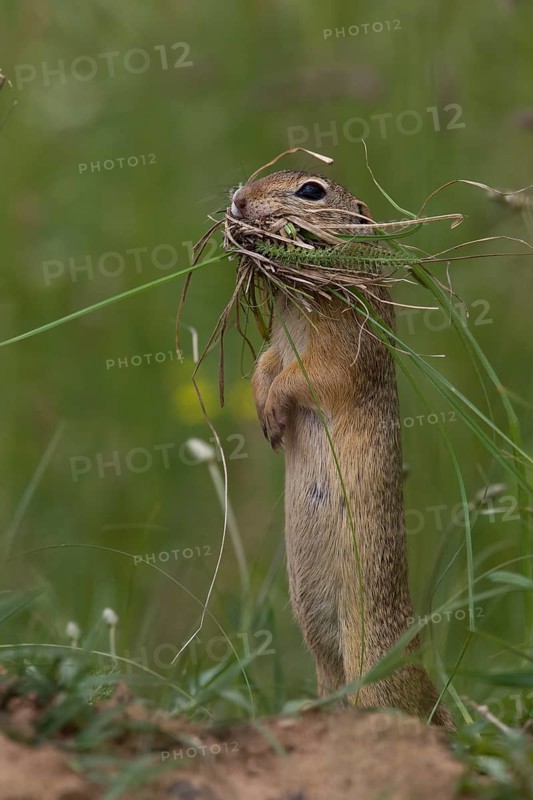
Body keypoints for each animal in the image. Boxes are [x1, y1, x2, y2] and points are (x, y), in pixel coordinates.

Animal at [230, 169, 454, 729]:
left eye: (311, 190)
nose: (238, 200)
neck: (297, 304)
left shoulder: (341, 349)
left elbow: (305, 378)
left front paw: (274, 412)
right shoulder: (276, 344)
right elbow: (265, 365)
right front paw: (266, 418)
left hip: (368, 666)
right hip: (326, 668)